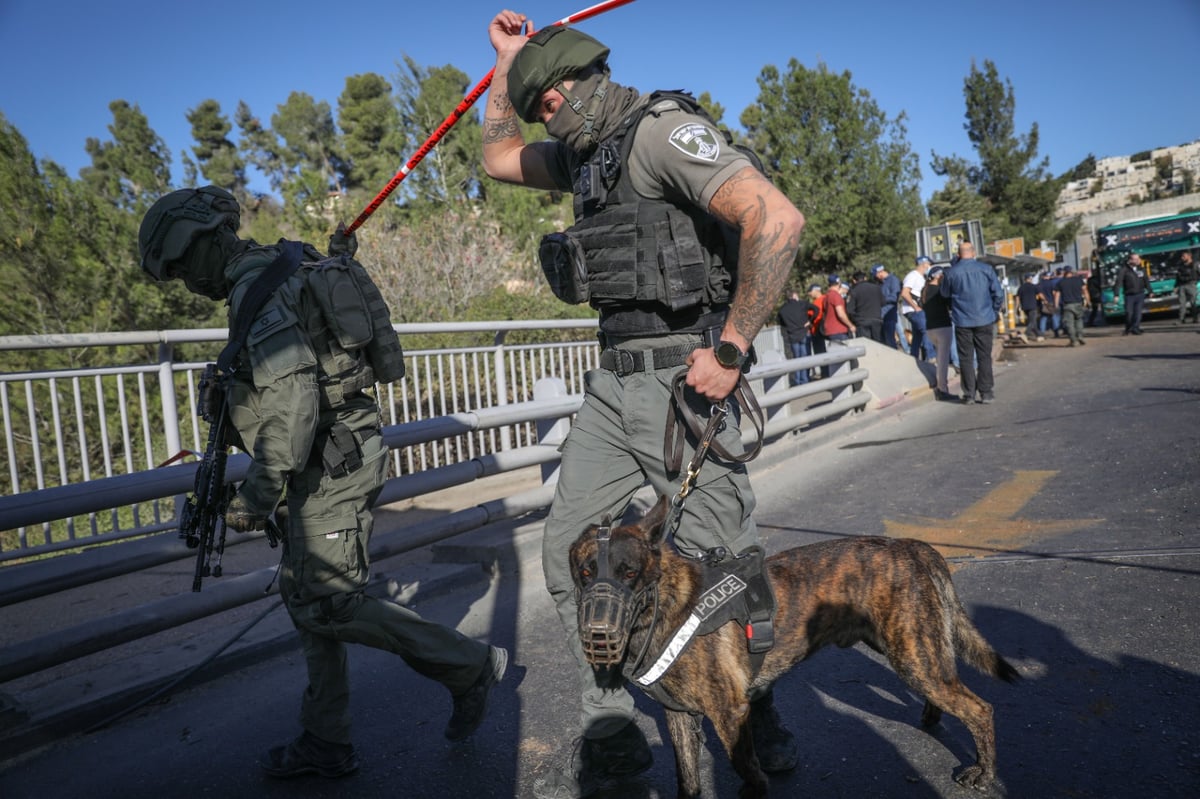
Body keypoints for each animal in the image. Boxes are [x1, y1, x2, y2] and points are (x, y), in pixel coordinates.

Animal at [566, 494, 1017, 791]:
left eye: (628, 572)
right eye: (585, 573)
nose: (599, 632)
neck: (662, 606)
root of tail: (915, 547)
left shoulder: (730, 715)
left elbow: (748, 773)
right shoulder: (679, 717)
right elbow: (687, 782)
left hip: (913, 657)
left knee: (981, 709)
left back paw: (985, 773)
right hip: (912, 651)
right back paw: (933, 717)